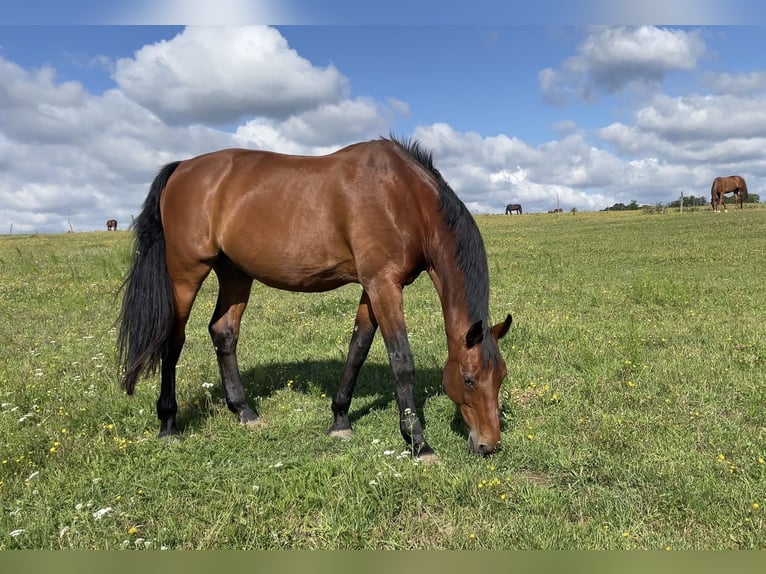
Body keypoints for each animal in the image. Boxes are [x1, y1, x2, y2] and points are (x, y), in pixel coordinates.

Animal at [118, 137, 516, 462]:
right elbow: (401, 360)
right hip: (186, 273)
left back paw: (245, 412)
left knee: (223, 332)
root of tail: (182, 167)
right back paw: (168, 424)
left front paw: (340, 419)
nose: (489, 444)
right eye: (468, 379)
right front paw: (419, 443)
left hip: (234, 273)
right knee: (173, 340)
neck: (404, 196)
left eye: (501, 377)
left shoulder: (372, 287)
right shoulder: (384, 284)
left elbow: (358, 347)